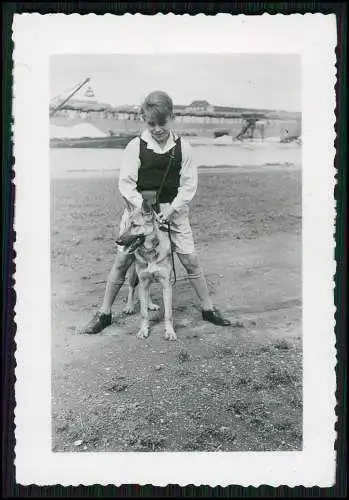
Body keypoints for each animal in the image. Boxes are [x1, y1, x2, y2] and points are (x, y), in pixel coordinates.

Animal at [115, 202, 175, 340]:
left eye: (134, 225)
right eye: (126, 225)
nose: (118, 242)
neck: (150, 252)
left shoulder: (167, 286)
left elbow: (168, 313)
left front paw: (170, 332)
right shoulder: (142, 282)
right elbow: (143, 313)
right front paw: (143, 330)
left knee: (147, 292)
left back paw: (150, 304)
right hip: (134, 276)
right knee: (131, 289)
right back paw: (129, 307)